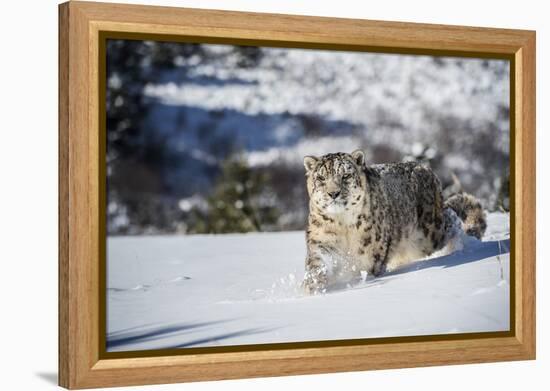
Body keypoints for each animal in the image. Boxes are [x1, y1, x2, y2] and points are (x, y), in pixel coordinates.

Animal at [304, 150, 490, 294]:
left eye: (345, 175)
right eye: (321, 178)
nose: (333, 193)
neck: (342, 224)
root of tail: (426, 169)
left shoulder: (370, 254)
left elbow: (364, 270)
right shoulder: (321, 241)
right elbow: (316, 263)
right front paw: (312, 286)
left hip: (429, 235)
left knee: (452, 219)